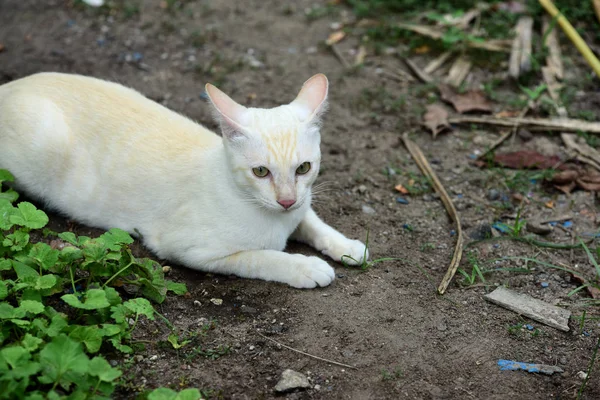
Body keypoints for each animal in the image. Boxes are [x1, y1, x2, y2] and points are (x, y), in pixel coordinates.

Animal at [0, 72, 368, 288]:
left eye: (303, 168)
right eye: (261, 172)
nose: (286, 200)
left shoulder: (303, 204)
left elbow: (314, 223)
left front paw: (348, 247)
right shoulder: (192, 250)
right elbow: (262, 257)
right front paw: (305, 267)